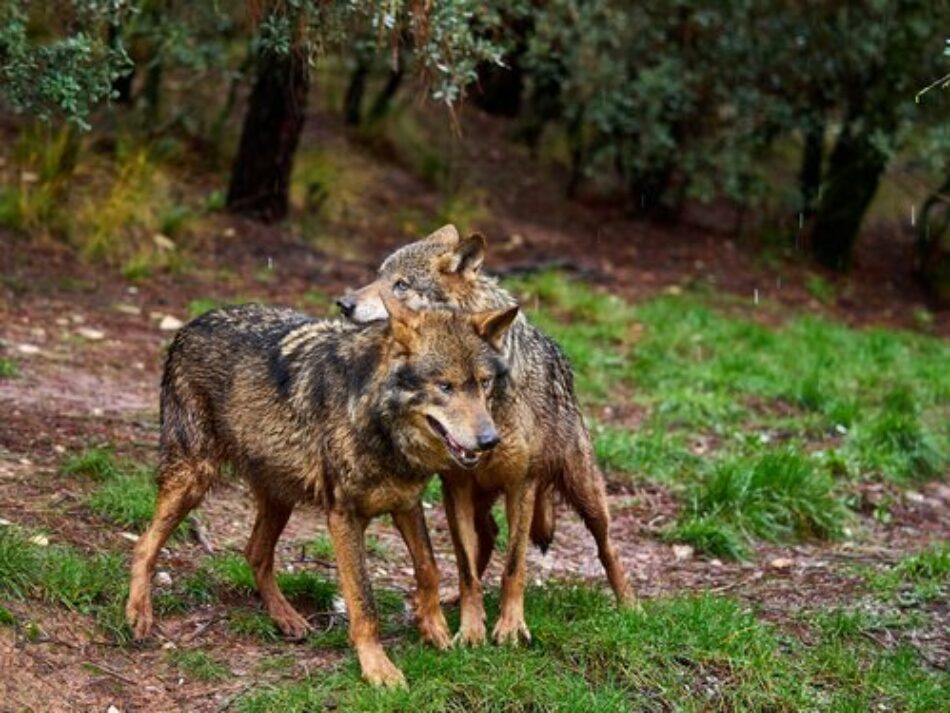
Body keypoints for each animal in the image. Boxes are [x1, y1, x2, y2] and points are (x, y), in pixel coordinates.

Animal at [127, 296, 520, 684]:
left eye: (484, 383)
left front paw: (433, 629)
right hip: (193, 480)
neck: (378, 422)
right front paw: (377, 668)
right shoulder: (343, 516)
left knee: (254, 553)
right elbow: (363, 600)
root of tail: (192, 324)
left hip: (280, 497)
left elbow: (429, 567)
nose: (490, 441)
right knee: (145, 543)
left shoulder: (406, 503)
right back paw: (138, 613)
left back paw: (286, 617)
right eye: (445, 386)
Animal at [338, 225, 636, 648]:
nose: (343, 304)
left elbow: (514, 566)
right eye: (378, 276)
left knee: (607, 547)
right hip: (478, 497)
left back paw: (631, 606)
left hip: (587, 494)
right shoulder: (456, 488)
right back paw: (450, 597)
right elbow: (466, 568)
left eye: (401, 285)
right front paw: (471, 629)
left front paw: (510, 628)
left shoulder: (521, 485)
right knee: (487, 538)